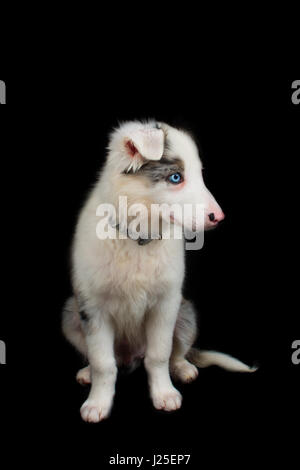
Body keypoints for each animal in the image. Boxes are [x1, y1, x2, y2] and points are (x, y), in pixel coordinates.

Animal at [62, 120, 255, 422]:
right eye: (176, 178)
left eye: (199, 175)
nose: (219, 218)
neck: (138, 237)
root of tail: (130, 357)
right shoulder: (93, 308)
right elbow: (103, 362)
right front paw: (97, 403)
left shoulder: (166, 304)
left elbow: (159, 355)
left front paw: (164, 394)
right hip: (70, 314)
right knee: (101, 358)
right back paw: (87, 372)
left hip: (185, 313)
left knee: (176, 352)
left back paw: (183, 368)